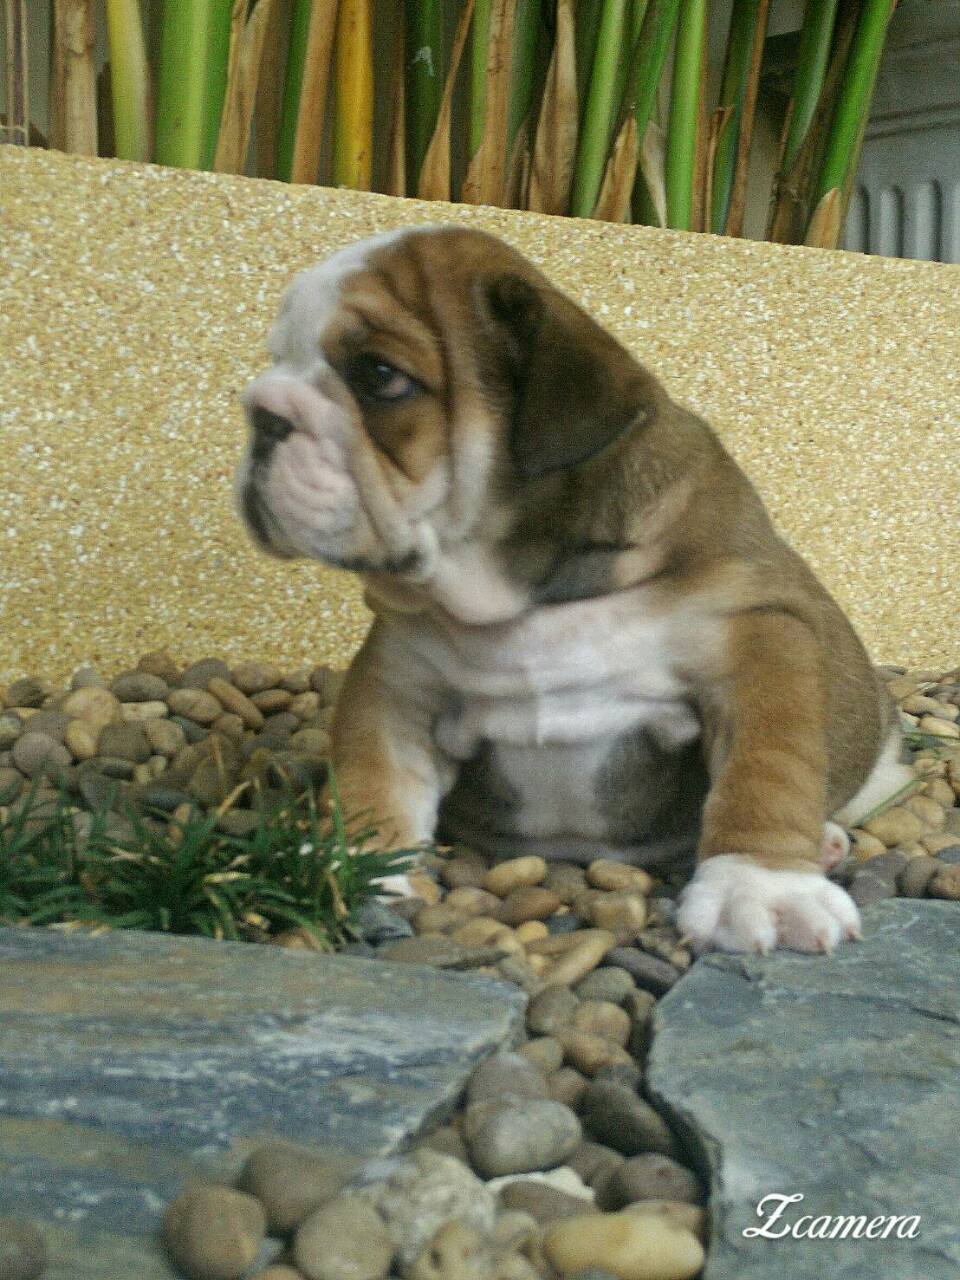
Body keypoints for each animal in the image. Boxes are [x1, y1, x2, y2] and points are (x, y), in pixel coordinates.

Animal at [236, 225, 911, 955]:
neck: (522, 590)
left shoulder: (758, 638)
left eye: (379, 376)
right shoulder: (396, 677)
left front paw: (761, 887)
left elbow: (767, 767)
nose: (260, 413)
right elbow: (372, 772)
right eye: (276, 359)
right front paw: (351, 863)